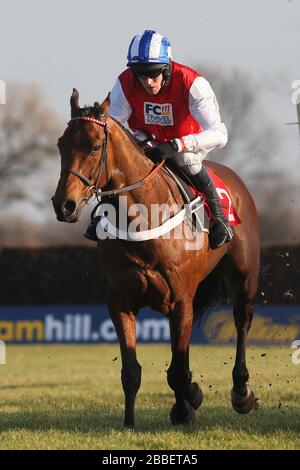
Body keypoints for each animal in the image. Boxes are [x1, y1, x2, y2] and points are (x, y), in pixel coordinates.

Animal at [52, 89, 260, 430]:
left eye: (94, 147)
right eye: (61, 144)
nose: (64, 205)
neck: (141, 219)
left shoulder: (181, 299)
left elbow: (177, 369)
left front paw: (184, 413)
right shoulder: (120, 301)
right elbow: (132, 371)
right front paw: (130, 422)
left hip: (243, 276)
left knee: (242, 320)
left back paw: (241, 391)